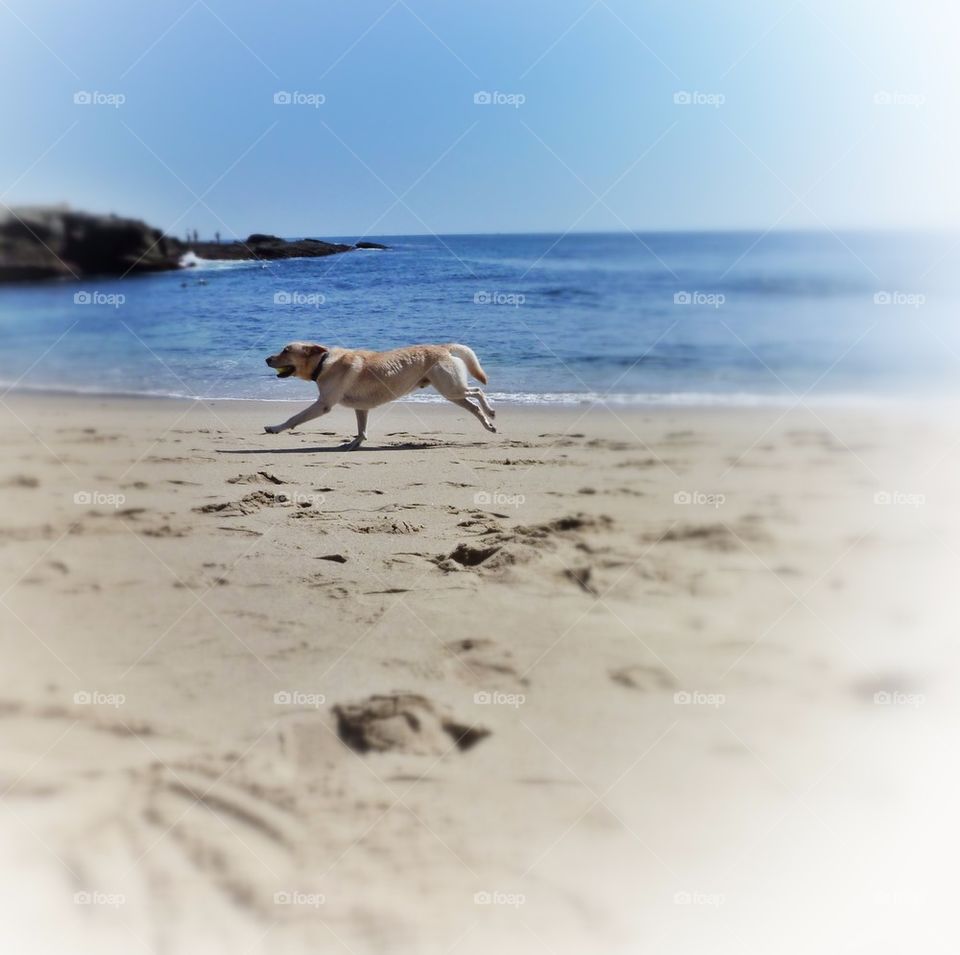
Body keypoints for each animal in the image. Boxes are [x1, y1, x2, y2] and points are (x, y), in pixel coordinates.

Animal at [266, 342, 498, 450]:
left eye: (286, 350)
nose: (266, 359)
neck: (322, 363)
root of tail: (443, 347)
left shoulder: (323, 404)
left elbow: (294, 418)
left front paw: (275, 427)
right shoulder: (361, 408)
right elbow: (362, 430)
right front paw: (354, 444)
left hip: (451, 389)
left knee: (478, 392)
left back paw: (491, 411)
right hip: (452, 393)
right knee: (474, 406)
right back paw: (489, 424)